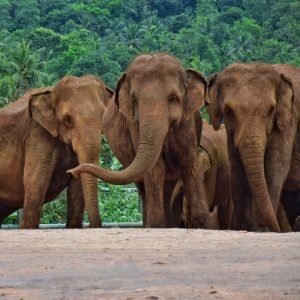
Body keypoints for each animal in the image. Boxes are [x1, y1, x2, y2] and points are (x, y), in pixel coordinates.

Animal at [0, 76, 112, 229]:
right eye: (67, 120)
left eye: (103, 116)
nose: (69, 171)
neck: (51, 92)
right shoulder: (37, 135)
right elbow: (35, 187)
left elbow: (77, 190)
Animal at [68, 54, 211, 227]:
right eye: (134, 99)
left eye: (173, 98)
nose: (71, 171)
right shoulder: (134, 125)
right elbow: (156, 168)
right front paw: (156, 225)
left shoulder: (187, 124)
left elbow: (189, 164)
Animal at [207, 62, 296, 232]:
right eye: (228, 111)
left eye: (271, 110)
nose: (276, 230)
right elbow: (236, 167)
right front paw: (245, 228)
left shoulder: (289, 121)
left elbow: (276, 165)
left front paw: (263, 229)